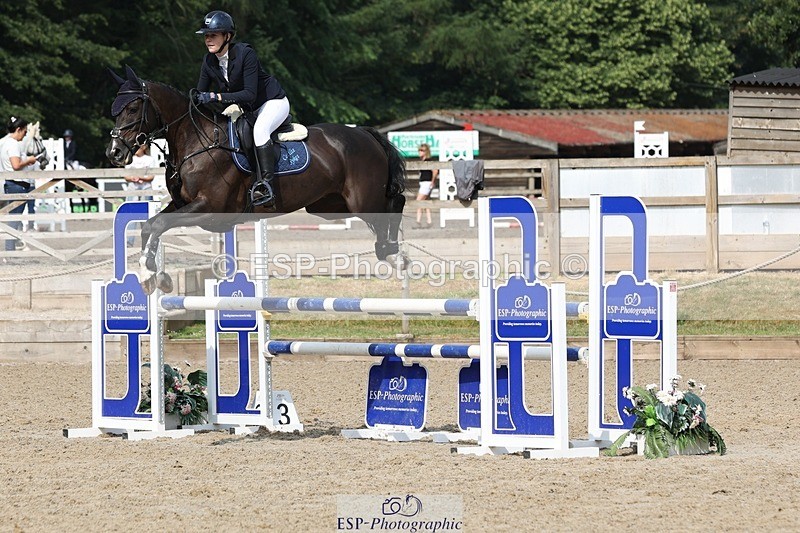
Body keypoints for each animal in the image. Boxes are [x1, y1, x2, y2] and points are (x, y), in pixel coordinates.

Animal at [105, 66, 406, 294]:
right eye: (116, 109)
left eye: (133, 108)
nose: (114, 152)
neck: (195, 142)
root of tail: (366, 134)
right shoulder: (182, 205)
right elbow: (151, 225)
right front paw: (153, 276)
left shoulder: (209, 209)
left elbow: (160, 225)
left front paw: (150, 275)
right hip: (328, 206)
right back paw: (392, 252)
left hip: (362, 200)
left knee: (395, 203)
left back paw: (393, 253)